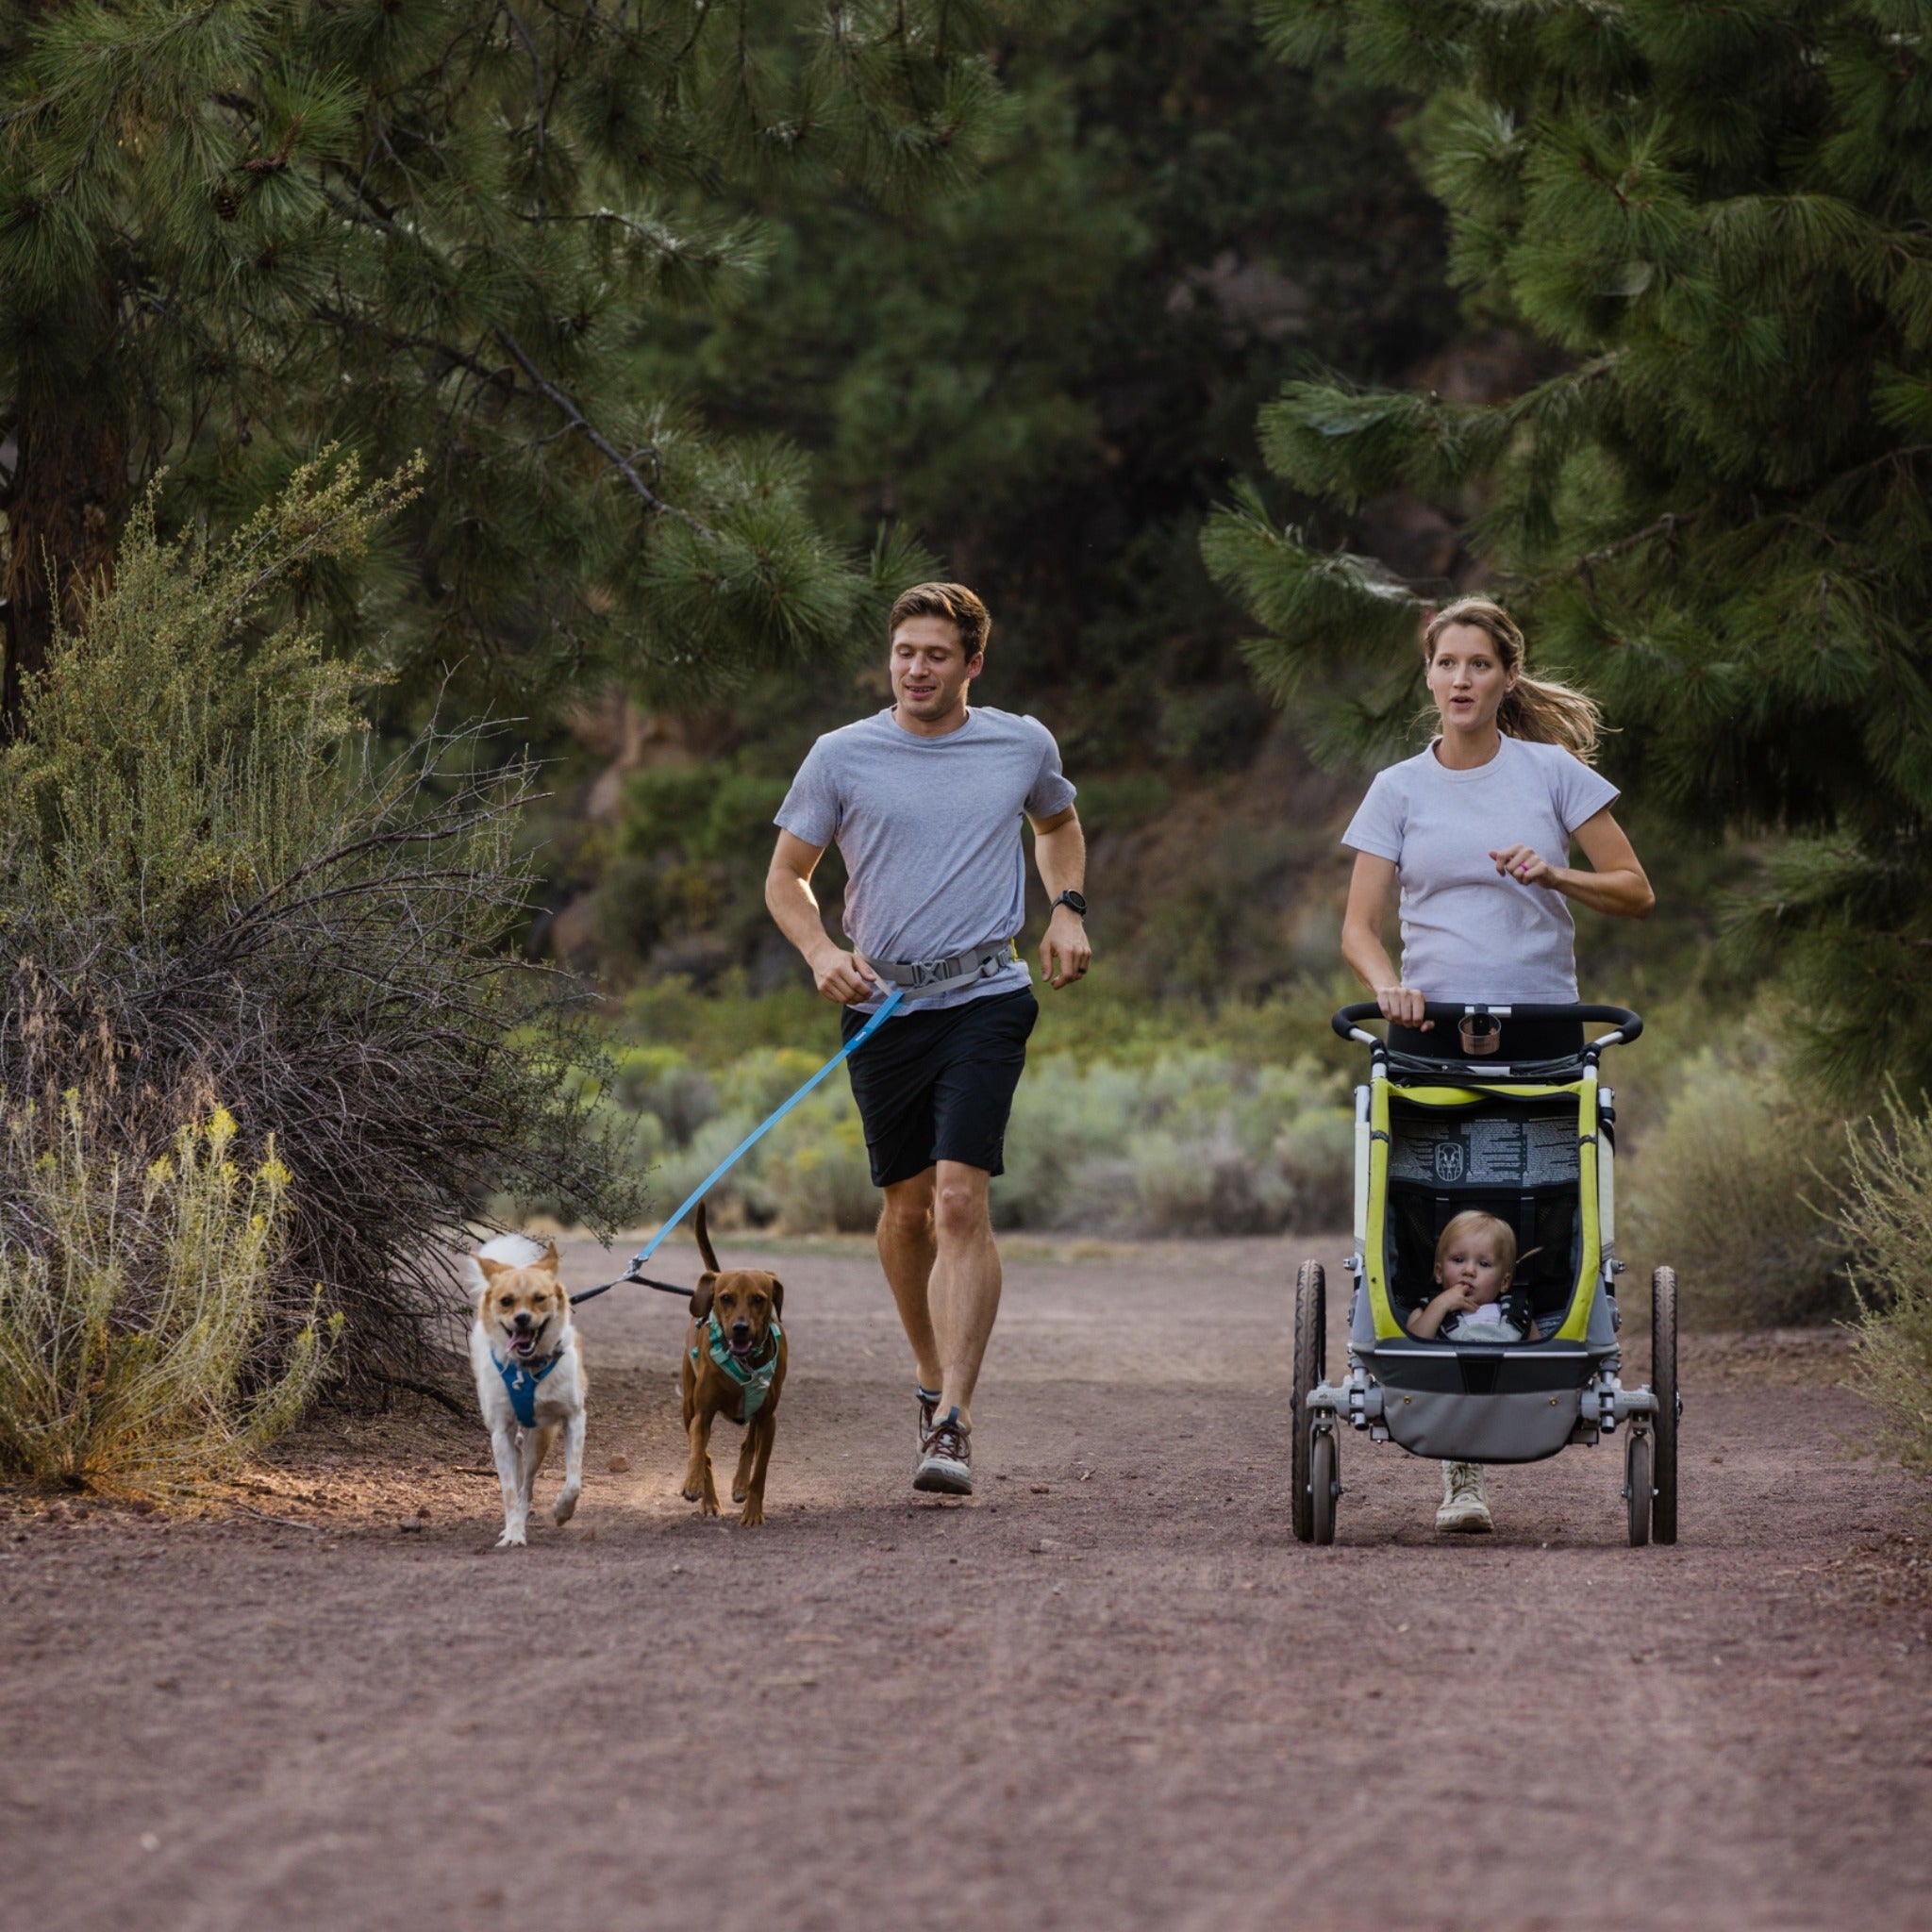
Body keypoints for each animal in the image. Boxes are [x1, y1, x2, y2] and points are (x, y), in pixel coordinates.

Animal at [467, 1236, 587, 1553]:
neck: (528, 1368)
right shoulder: (500, 1432)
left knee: (528, 1482)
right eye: (506, 1301)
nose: (521, 1319)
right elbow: (509, 1491)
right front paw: (512, 1533)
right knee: (520, 1480)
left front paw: (562, 1511)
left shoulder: (573, 1417)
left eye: (540, 1298)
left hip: (540, 1437)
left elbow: (573, 1482)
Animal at [679, 1205, 784, 1522]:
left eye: (759, 1299)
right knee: (706, 1455)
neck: (744, 1363)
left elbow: (759, 1471)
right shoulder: (702, 1413)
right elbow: (700, 1452)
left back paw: (738, 1486)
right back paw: (710, 1502)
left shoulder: (768, 1418)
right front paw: (693, 1484)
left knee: (748, 1444)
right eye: (725, 1298)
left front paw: (752, 1513)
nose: (740, 1328)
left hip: (758, 1415)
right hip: (687, 1406)